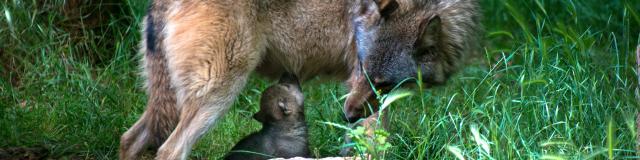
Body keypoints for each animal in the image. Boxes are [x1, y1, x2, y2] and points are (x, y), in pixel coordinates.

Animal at [120, 0, 478, 159]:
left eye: (384, 83)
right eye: (361, 68)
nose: (346, 116)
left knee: (128, 139)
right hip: (218, 97)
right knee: (169, 150)